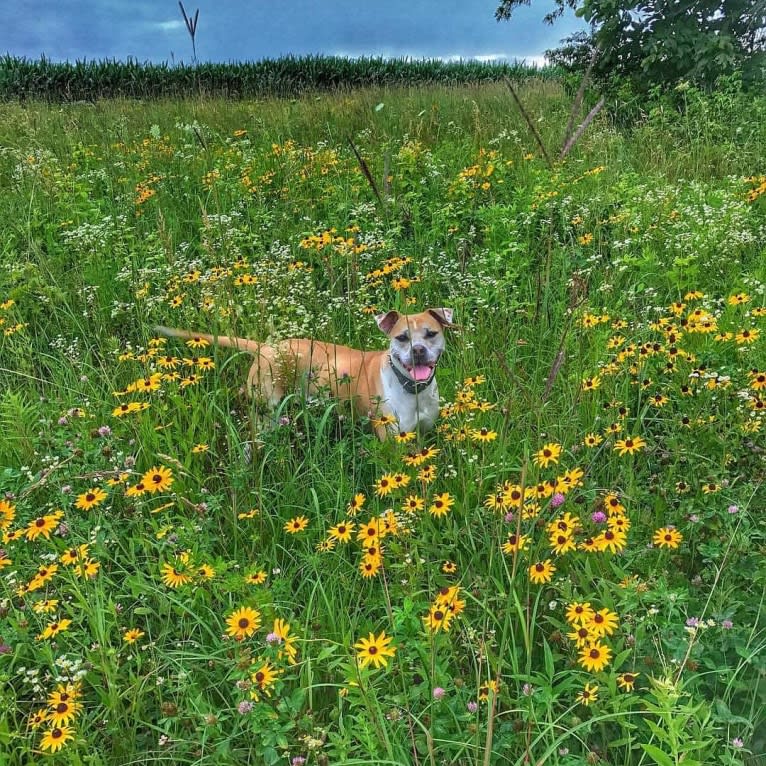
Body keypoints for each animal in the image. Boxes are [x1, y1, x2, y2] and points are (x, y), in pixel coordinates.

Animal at [156, 308, 456, 440]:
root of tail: (267, 346)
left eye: (431, 334)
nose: (418, 350)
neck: (411, 390)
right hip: (267, 410)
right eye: (402, 338)